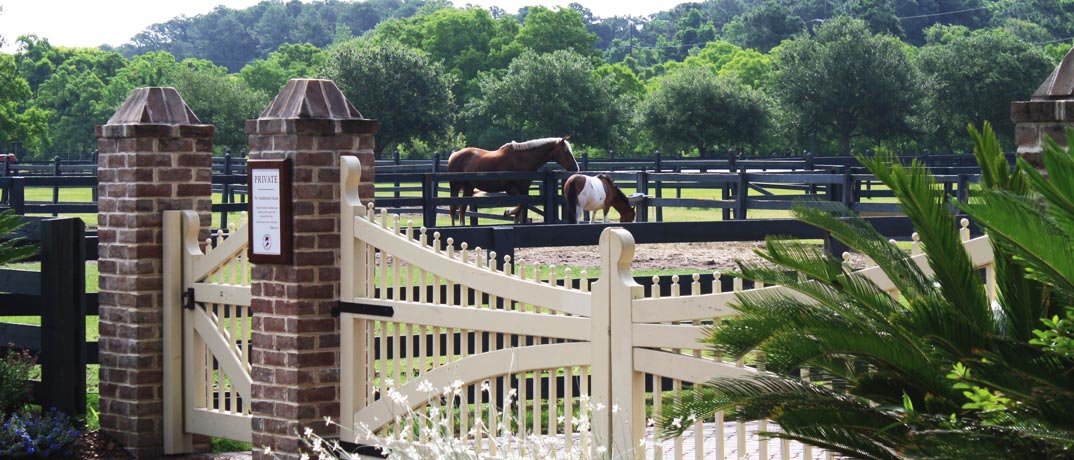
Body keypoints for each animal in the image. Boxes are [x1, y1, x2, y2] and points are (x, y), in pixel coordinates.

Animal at [444, 135, 579, 225]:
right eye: (566, 151)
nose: (576, 168)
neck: (521, 160)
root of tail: (453, 155)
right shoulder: (509, 188)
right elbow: (521, 204)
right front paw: (507, 212)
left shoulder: (524, 189)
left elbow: (522, 207)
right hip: (455, 186)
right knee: (453, 208)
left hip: (468, 187)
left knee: (462, 208)